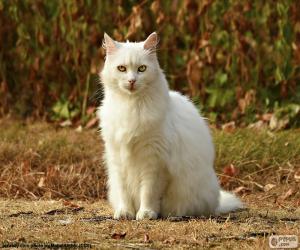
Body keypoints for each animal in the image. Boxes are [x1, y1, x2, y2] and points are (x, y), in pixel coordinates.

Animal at [97, 32, 243, 220]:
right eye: (121, 68)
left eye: (142, 69)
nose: (131, 81)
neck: (131, 106)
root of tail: (216, 200)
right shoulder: (118, 157)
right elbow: (124, 192)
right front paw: (125, 213)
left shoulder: (154, 161)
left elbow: (148, 192)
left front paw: (146, 213)